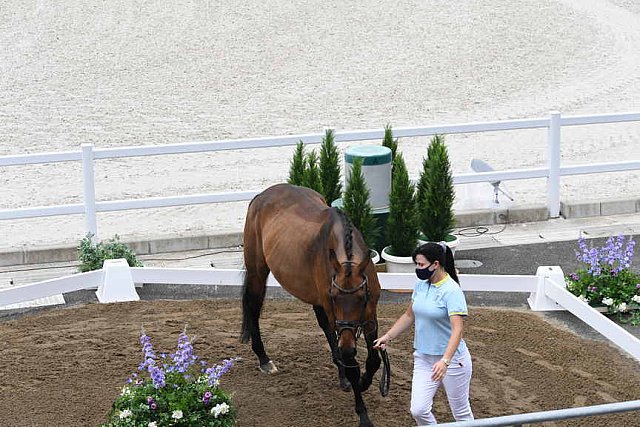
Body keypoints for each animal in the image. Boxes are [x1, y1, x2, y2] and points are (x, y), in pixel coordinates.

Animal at [241, 184, 384, 427]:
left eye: (361, 298)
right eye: (335, 297)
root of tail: (261, 196)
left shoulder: (369, 314)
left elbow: (373, 360)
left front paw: (363, 380)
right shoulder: (332, 309)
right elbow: (351, 360)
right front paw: (363, 414)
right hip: (257, 271)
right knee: (253, 306)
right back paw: (264, 359)